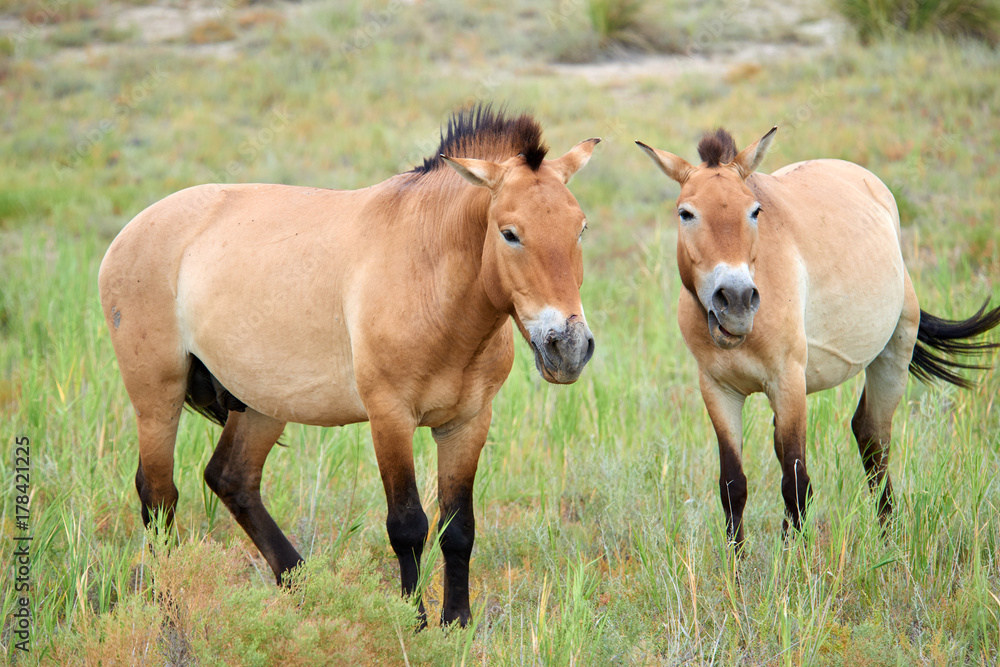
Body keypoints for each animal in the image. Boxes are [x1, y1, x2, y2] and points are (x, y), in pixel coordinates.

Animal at [99, 105, 600, 626]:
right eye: (509, 234)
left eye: (580, 228)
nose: (568, 346)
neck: (427, 273)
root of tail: (132, 229)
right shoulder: (390, 417)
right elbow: (408, 525)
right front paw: (413, 623)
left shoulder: (467, 423)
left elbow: (458, 528)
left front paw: (457, 623)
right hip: (158, 398)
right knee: (158, 495)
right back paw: (171, 608)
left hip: (262, 403)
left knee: (231, 479)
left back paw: (302, 585)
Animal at [635, 128, 1000, 550]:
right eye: (686, 213)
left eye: (754, 211)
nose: (737, 300)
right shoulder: (717, 388)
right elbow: (733, 484)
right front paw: (736, 562)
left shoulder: (788, 382)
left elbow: (796, 483)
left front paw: (795, 559)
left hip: (892, 355)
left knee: (874, 438)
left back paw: (888, 536)